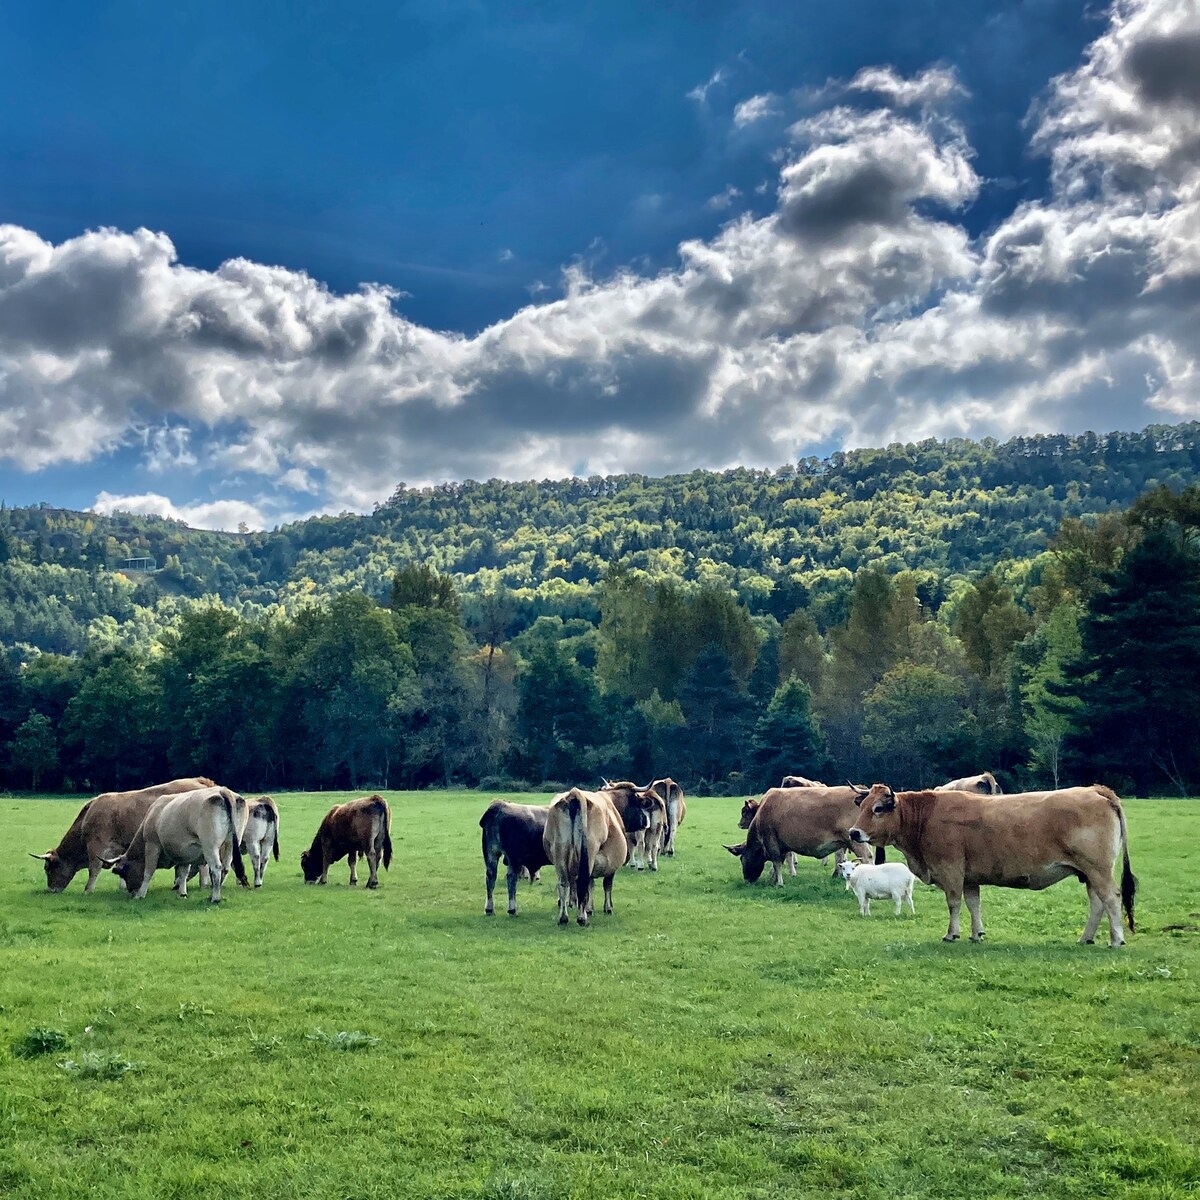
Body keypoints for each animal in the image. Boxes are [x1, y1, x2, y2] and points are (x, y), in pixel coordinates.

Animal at [31, 777, 217, 892]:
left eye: (48, 868)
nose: (51, 890)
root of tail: (201, 781)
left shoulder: (96, 845)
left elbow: (94, 869)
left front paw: (88, 890)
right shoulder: (120, 847)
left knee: (202, 865)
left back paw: (201, 885)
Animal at [104, 787, 249, 902]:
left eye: (123, 873)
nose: (130, 892)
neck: (154, 814)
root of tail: (222, 790)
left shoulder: (152, 845)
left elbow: (148, 872)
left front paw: (140, 894)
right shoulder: (187, 853)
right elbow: (183, 873)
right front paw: (182, 893)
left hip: (209, 846)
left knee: (216, 868)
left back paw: (215, 898)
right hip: (231, 843)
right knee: (225, 868)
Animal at [547, 787, 633, 926]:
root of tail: (576, 793)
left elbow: (591, 885)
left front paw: (590, 908)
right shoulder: (612, 865)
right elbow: (606, 885)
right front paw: (607, 908)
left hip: (559, 850)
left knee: (564, 883)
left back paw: (563, 917)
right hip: (590, 851)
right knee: (582, 882)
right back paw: (582, 918)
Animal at [720, 782, 883, 888]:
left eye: (742, 859)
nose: (747, 879)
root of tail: (864, 792)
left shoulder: (771, 840)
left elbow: (776, 862)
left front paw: (779, 883)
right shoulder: (782, 845)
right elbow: (779, 862)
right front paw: (772, 879)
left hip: (855, 841)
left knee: (866, 858)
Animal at [849, 782, 1137, 940]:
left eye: (877, 809)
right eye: (860, 807)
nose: (853, 832)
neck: (926, 817)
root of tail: (1096, 790)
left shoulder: (951, 871)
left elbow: (954, 904)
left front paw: (952, 934)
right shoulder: (969, 877)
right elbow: (973, 904)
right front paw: (977, 934)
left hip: (1098, 869)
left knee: (1111, 898)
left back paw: (1116, 939)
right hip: (1088, 873)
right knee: (1097, 903)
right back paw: (1086, 938)